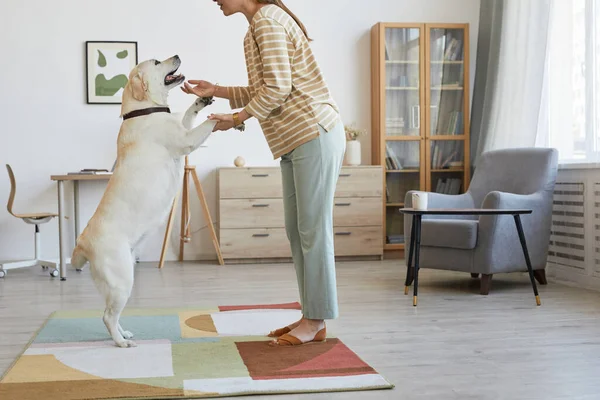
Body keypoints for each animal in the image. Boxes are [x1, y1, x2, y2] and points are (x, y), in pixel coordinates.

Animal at [71, 55, 216, 346]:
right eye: (158, 61)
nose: (177, 54)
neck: (146, 110)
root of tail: (82, 243)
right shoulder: (185, 141)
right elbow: (205, 125)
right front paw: (226, 118)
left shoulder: (183, 129)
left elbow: (188, 116)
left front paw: (200, 101)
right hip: (121, 280)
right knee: (107, 316)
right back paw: (121, 342)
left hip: (119, 281)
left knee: (110, 313)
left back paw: (124, 333)